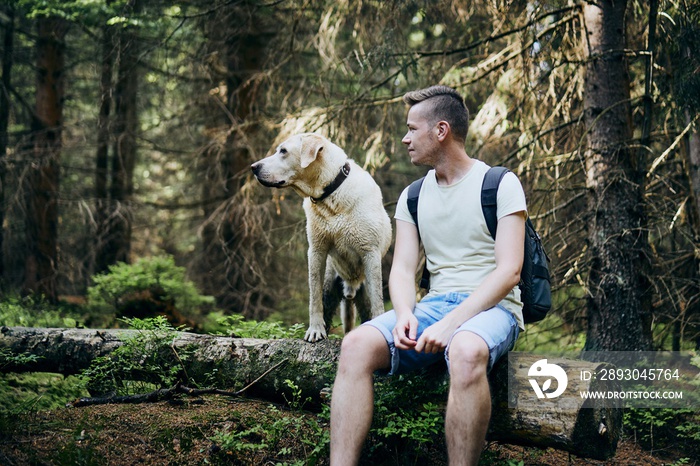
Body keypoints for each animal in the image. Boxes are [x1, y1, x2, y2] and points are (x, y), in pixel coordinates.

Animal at [252, 133, 394, 340]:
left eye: (283, 151)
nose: (253, 167)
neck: (331, 195)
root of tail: (350, 288)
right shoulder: (316, 251)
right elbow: (314, 297)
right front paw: (315, 330)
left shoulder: (370, 254)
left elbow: (378, 303)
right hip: (330, 282)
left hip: (363, 288)